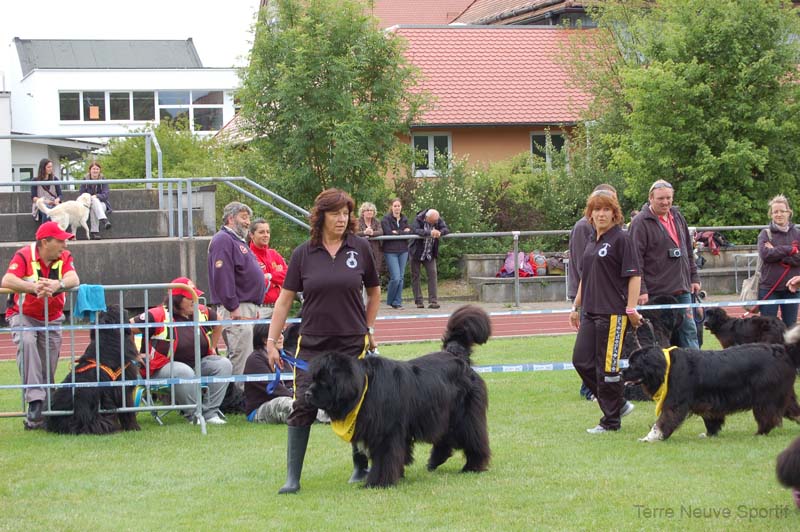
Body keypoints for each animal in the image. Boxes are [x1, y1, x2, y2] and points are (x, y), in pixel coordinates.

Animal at [624, 326, 800, 442]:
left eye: (633, 364)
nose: (621, 373)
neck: (666, 367)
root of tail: (782, 350)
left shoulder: (675, 402)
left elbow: (663, 421)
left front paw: (650, 437)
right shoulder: (707, 401)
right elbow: (710, 418)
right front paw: (709, 434)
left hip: (766, 396)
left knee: (768, 417)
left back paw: (759, 433)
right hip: (784, 393)